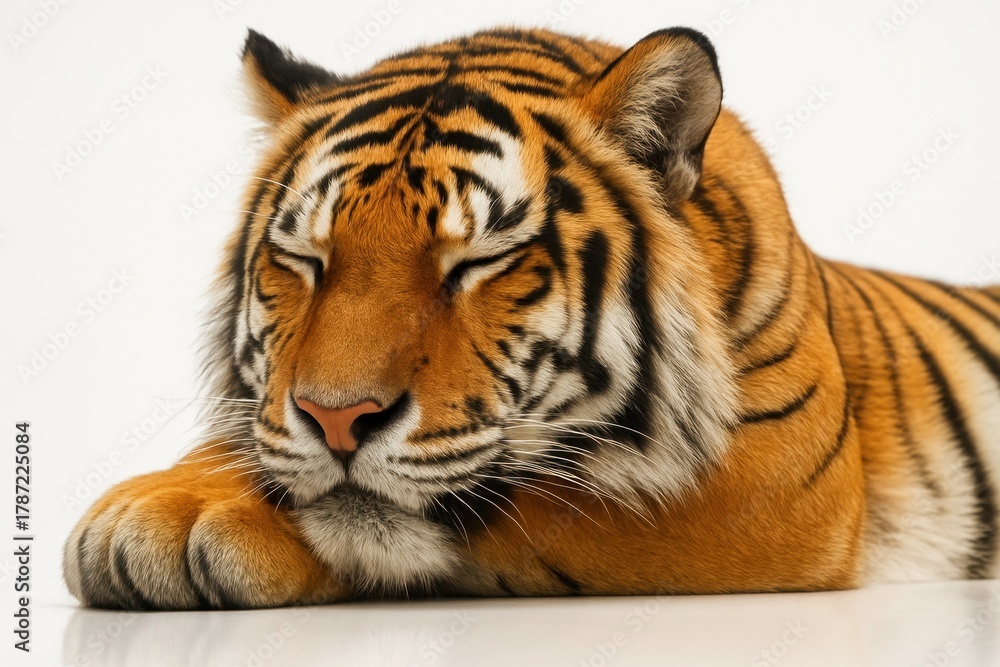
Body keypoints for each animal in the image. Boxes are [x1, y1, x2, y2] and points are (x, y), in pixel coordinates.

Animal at [63, 26, 1000, 610]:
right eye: (308, 261)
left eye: (477, 263)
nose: (336, 418)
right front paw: (160, 501)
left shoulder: (772, 480)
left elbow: (511, 512)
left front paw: (191, 525)